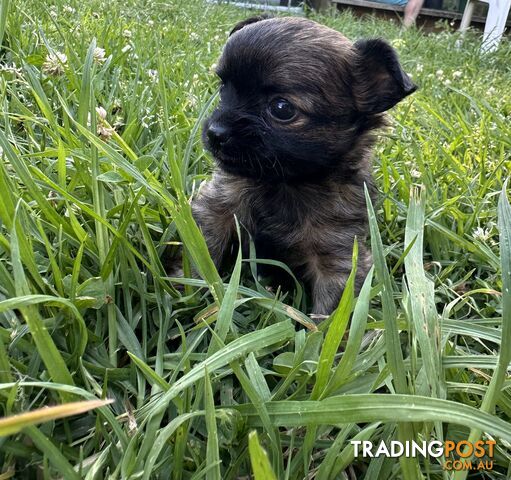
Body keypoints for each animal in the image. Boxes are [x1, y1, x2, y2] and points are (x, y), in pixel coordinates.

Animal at [192, 15, 416, 316]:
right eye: (223, 89)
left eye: (282, 108)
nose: (216, 132)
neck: (284, 184)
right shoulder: (215, 211)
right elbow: (201, 256)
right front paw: (185, 292)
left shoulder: (337, 257)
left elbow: (329, 314)